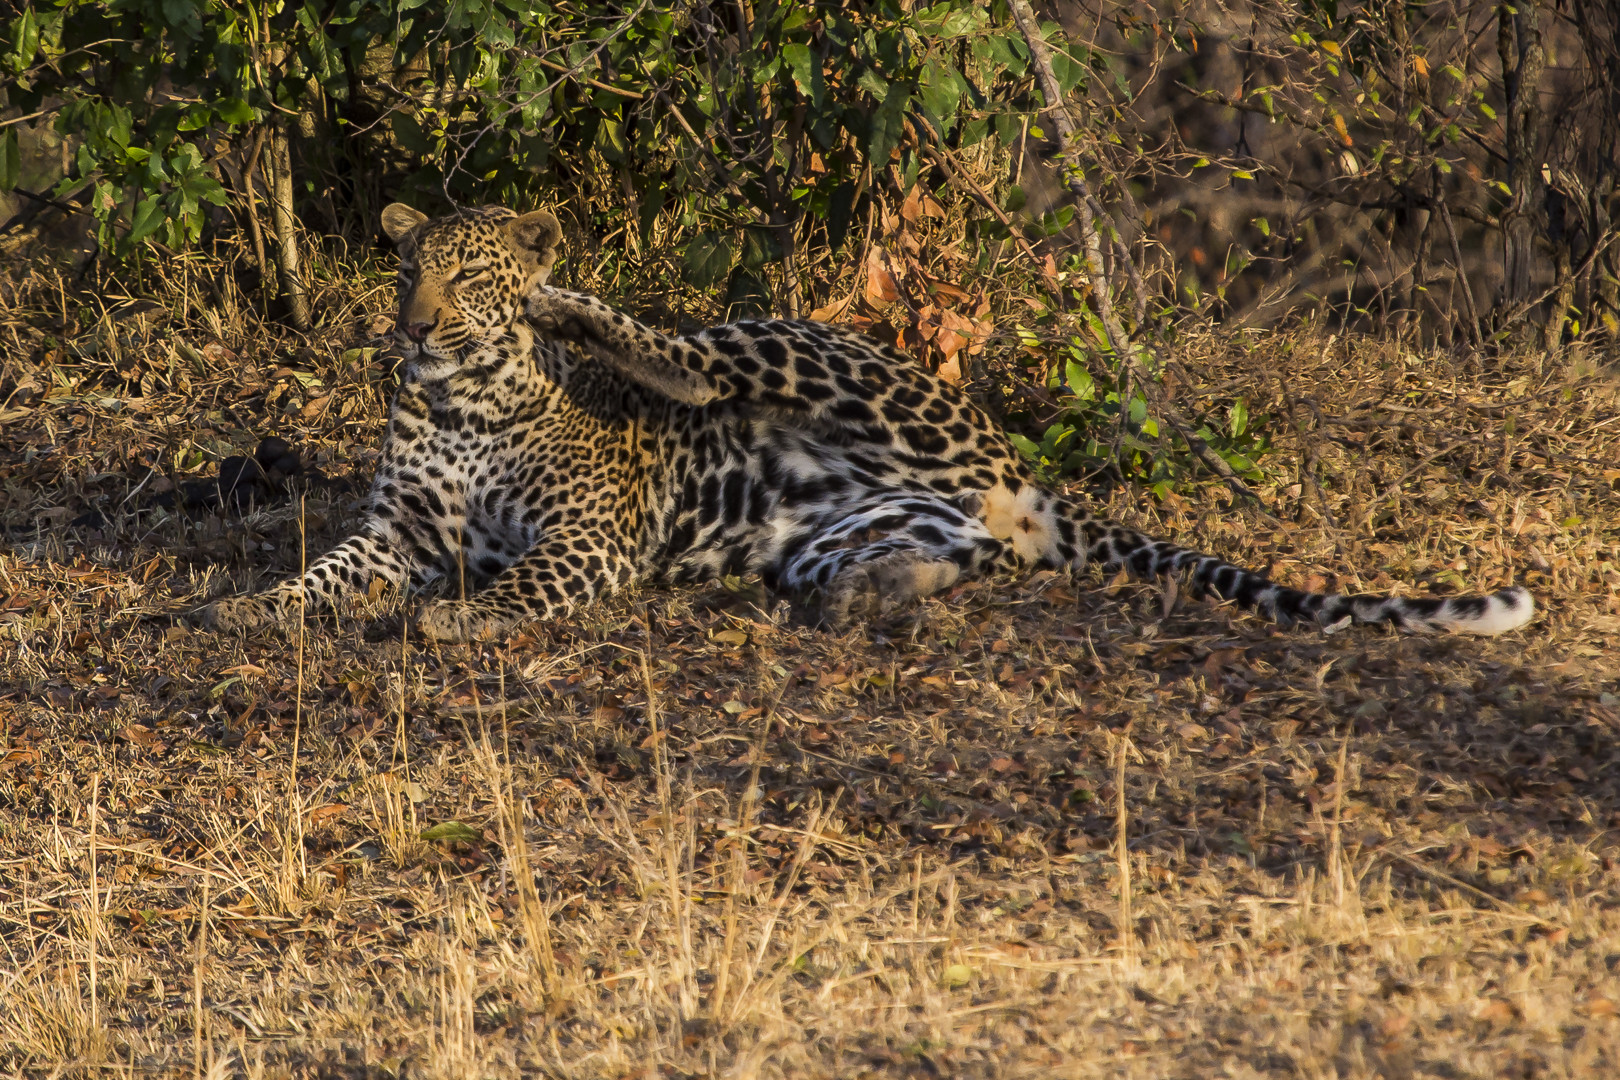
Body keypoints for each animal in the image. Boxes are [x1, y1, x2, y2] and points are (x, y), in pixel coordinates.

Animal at [199, 201, 1529, 641]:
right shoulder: (399, 531)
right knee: (944, 563)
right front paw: (245, 608)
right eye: (405, 273)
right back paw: (861, 605)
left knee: (687, 356)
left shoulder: (587, 534)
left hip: (790, 343)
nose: (415, 328)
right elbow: (319, 577)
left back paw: (579, 310)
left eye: (466, 277)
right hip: (855, 528)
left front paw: (460, 625)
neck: (459, 394)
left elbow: (520, 582)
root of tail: (1013, 469)